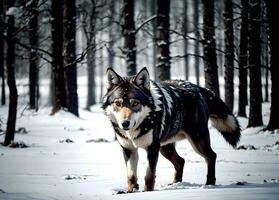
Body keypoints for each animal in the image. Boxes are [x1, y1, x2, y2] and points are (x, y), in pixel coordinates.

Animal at [101, 67, 242, 192]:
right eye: (118, 103)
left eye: (135, 103)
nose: (125, 123)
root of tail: (197, 87)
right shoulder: (128, 149)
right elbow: (131, 176)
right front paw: (131, 192)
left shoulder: (152, 148)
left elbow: (149, 175)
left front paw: (147, 192)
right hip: (165, 148)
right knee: (181, 161)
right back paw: (175, 184)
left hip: (196, 142)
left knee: (212, 156)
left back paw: (210, 183)